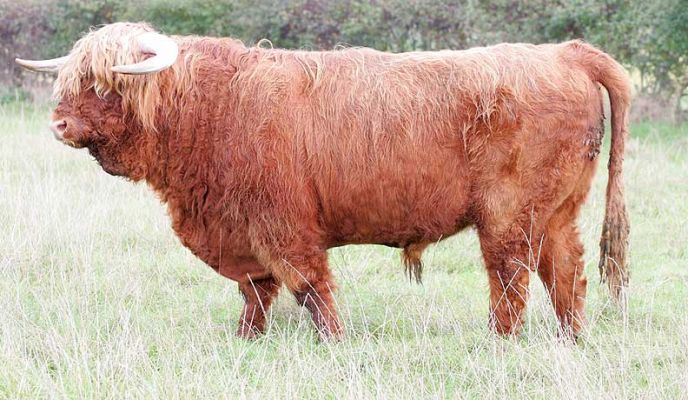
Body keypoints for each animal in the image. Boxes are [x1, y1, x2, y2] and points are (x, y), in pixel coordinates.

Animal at [16, 22, 630, 340]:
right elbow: (256, 290)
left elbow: (309, 286)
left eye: (104, 84)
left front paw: (333, 340)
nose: (58, 124)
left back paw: (499, 340)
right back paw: (569, 338)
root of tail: (565, 53)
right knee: (565, 272)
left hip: (507, 213)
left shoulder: (283, 223)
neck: (210, 109)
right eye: (69, 79)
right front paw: (247, 338)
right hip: (557, 210)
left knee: (510, 276)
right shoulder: (243, 228)